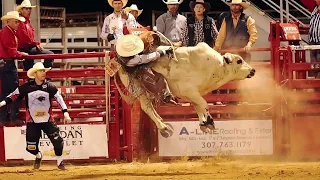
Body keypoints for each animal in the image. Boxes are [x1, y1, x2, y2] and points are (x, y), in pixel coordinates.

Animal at [114, 42, 256, 135]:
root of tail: (119, 65)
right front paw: (209, 122)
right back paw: (163, 127)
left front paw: (203, 124)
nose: (253, 70)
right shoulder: (190, 91)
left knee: (149, 107)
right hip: (138, 89)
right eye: (239, 60)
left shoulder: (192, 95)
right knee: (146, 107)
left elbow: (198, 107)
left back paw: (161, 120)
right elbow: (204, 105)